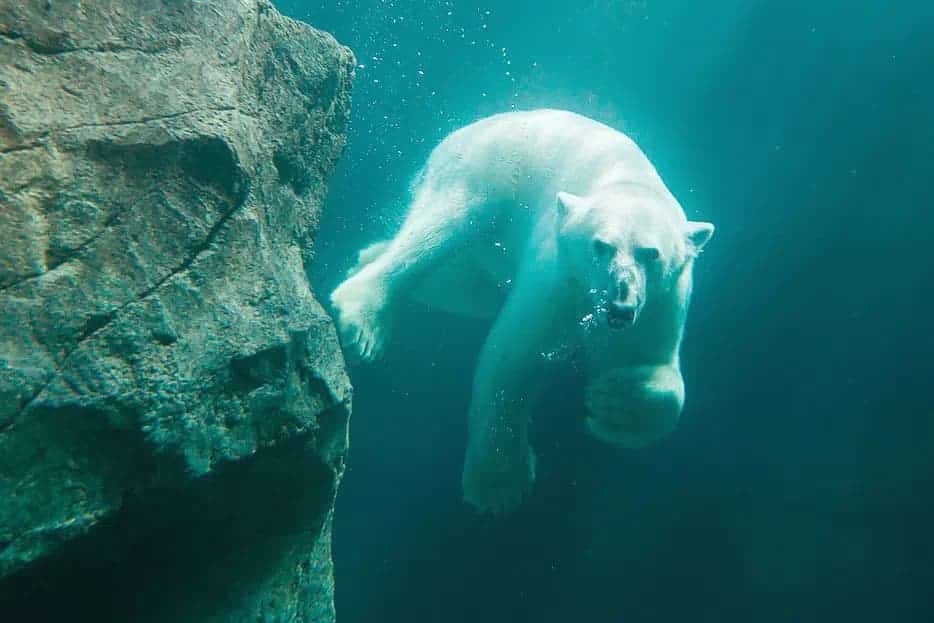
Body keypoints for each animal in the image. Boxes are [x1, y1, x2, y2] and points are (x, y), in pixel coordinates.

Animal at [330, 109, 716, 516]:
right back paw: (363, 316)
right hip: (481, 173)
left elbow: (653, 368)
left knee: (456, 285)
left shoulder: (660, 303)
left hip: (481, 264)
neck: (625, 178)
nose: (620, 307)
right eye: (601, 246)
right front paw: (498, 484)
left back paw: (364, 257)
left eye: (650, 253)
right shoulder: (557, 278)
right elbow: (513, 354)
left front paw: (611, 402)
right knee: (436, 232)